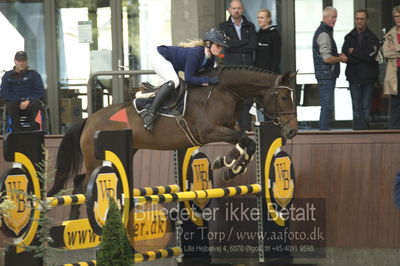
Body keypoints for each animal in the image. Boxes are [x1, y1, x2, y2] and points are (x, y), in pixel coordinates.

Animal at [47, 65, 296, 218]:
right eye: (284, 97)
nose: (292, 130)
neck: (223, 91)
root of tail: (89, 120)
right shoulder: (209, 131)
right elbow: (245, 140)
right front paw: (229, 168)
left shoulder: (227, 128)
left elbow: (245, 142)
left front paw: (227, 166)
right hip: (96, 160)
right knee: (83, 182)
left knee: (80, 180)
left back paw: (76, 220)